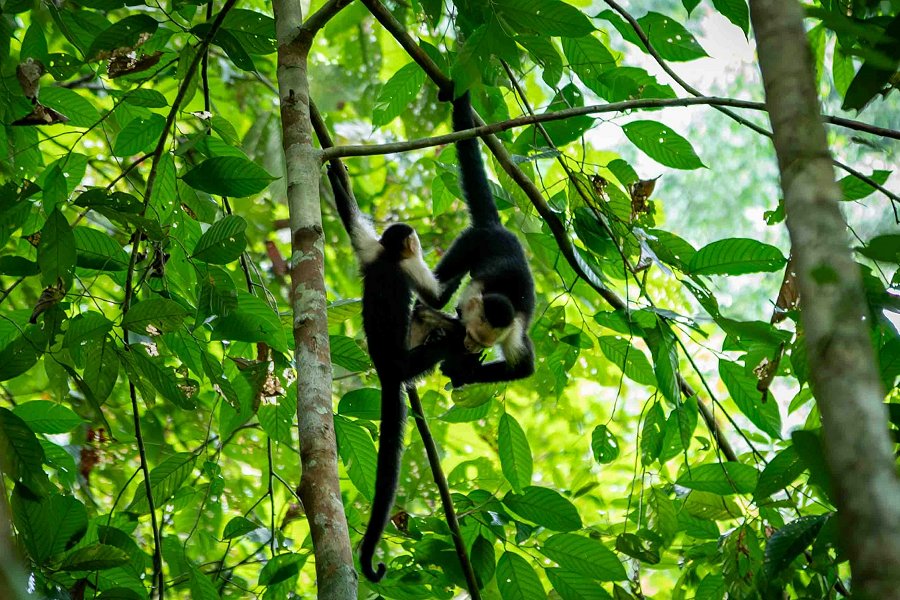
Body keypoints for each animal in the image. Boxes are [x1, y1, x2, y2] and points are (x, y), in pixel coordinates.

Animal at [326, 165, 467, 582]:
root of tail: (388, 371)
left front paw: (335, 173)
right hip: (412, 358)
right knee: (435, 329)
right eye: (413, 240)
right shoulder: (407, 265)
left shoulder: (372, 250)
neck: (389, 257)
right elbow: (435, 297)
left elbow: (351, 221)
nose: (416, 241)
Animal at [423, 89, 536, 387]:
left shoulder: (512, 333)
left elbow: (523, 367)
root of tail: (496, 227)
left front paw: (463, 371)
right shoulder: (470, 300)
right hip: (472, 241)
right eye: (472, 337)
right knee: (437, 293)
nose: (471, 348)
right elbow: (454, 309)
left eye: (483, 345)